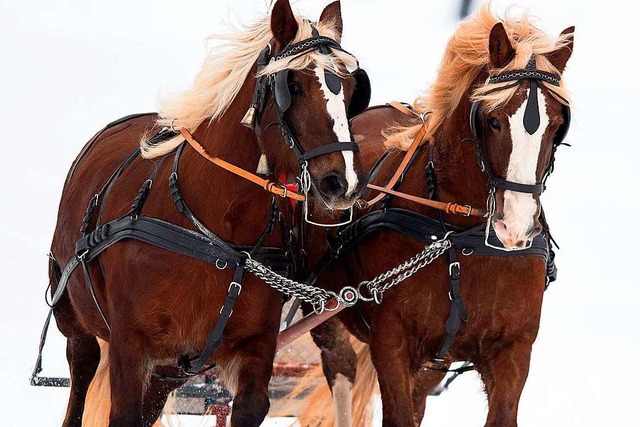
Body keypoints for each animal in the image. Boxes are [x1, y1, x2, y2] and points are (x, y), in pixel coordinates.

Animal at [43, 1, 370, 426]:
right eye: (293, 87)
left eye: (351, 90)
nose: (342, 182)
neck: (218, 234)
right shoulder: (130, 346)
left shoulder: (253, 347)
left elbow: (251, 404)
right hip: (74, 318)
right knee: (80, 371)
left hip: (170, 368)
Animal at [298, 6, 576, 427]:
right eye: (493, 120)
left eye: (558, 125)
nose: (514, 227)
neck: (461, 237)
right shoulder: (391, 341)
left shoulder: (512, 349)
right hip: (324, 307)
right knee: (341, 367)